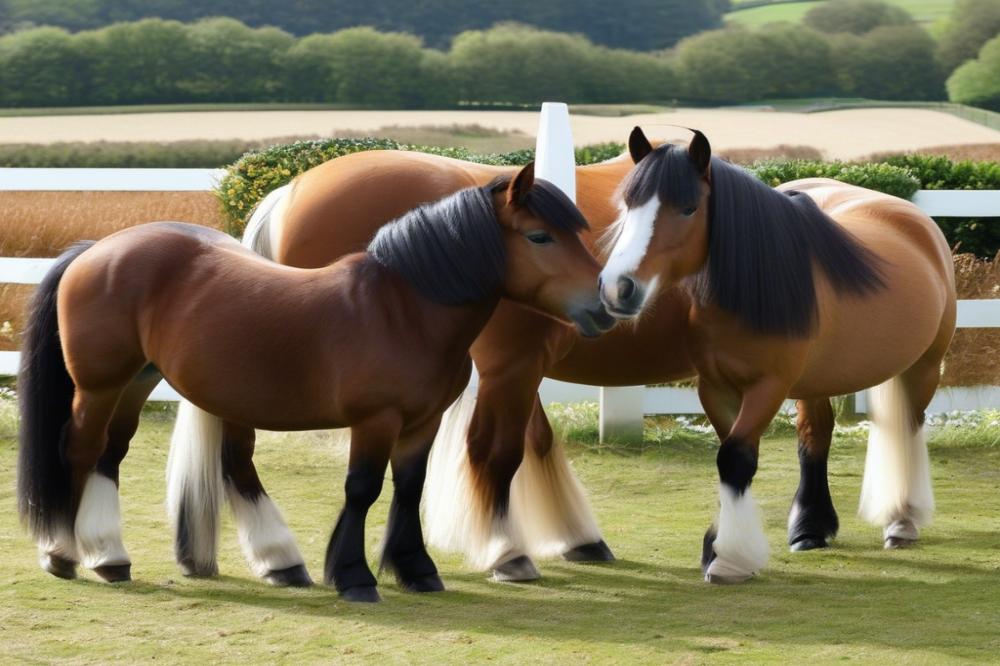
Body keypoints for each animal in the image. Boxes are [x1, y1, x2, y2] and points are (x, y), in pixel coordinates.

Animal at [17, 166, 608, 600]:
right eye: (539, 236)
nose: (604, 305)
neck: (403, 311)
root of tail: (95, 250)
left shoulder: (423, 422)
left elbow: (408, 488)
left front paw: (416, 570)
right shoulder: (376, 421)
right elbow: (363, 488)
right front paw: (354, 577)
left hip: (141, 380)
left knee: (115, 454)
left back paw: (117, 556)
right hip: (100, 385)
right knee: (80, 449)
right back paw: (64, 553)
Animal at [596, 126, 956, 580]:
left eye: (689, 208)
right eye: (629, 204)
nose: (617, 288)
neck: (751, 288)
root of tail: (916, 219)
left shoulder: (768, 387)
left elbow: (735, 458)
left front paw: (728, 558)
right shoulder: (715, 388)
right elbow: (731, 455)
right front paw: (720, 546)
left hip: (923, 367)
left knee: (908, 425)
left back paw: (902, 520)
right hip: (820, 380)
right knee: (815, 437)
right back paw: (810, 529)